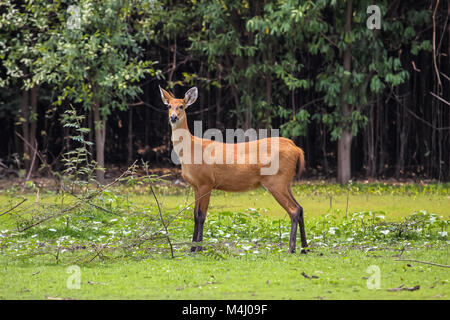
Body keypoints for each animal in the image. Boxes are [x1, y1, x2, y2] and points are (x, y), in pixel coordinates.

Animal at [159, 86, 310, 254]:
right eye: (168, 106)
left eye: (181, 106)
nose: (173, 117)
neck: (189, 151)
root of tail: (296, 149)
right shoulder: (196, 186)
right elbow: (195, 215)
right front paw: (192, 249)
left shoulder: (206, 182)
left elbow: (201, 215)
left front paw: (198, 248)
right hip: (286, 182)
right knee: (300, 208)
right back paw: (304, 248)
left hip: (276, 181)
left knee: (294, 210)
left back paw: (291, 248)